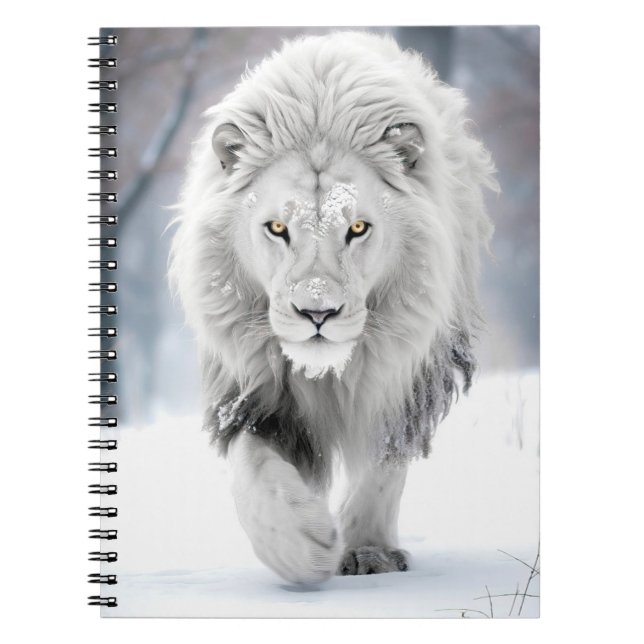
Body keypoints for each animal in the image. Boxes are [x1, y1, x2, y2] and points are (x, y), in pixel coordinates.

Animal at [170, 31, 497, 584]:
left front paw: (367, 552)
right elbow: (251, 470)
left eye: (358, 228)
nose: (317, 314)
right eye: (278, 228)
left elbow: (383, 463)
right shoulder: (251, 389)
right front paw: (302, 544)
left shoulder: (406, 375)